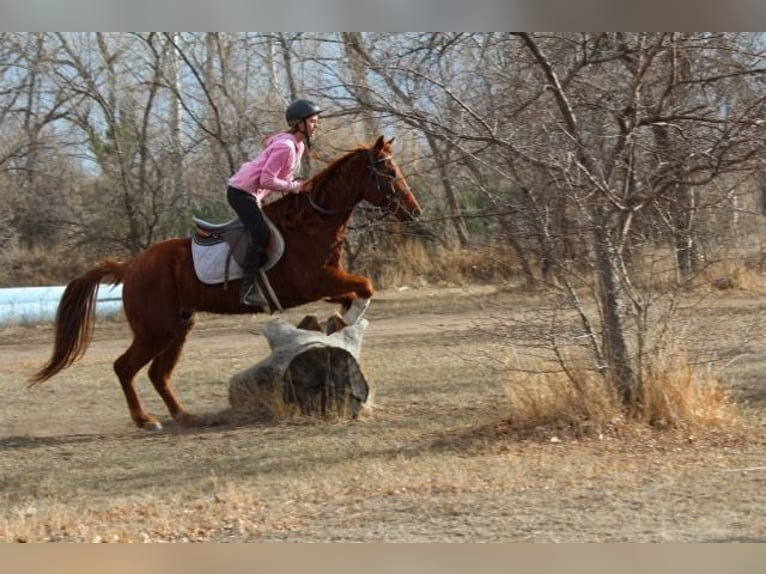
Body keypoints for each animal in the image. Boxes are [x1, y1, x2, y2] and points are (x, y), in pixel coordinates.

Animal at [30, 136, 424, 432]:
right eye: (389, 171)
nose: (415, 211)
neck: (313, 222)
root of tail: (131, 265)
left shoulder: (326, 283)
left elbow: (354, 293)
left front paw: (337, 321)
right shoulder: (313, 282)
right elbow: (366, 286)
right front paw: (346, 319)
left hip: (178, 326)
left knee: (158, 373)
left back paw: (184, 416)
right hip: (155, 330)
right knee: (125, 368)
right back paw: (145, 421)